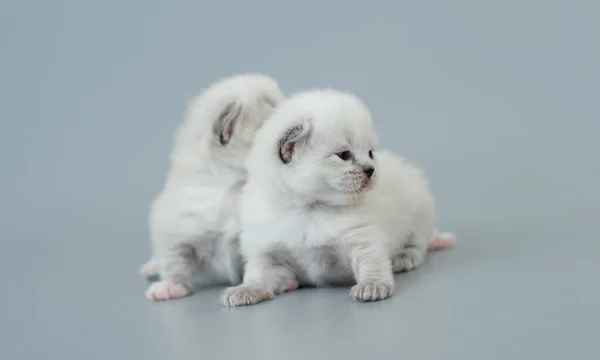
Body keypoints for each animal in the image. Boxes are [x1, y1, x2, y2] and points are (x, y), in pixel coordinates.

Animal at [223, 89, 452, 306]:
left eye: (370, 153)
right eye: (343, 155)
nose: (371, 170)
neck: (307, 209)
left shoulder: (361, 239)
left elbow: (372, 264)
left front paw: (372, 286)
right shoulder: (268, 254)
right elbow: (257, 276)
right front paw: (245, 290)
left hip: (419, 210)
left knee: (419, 244)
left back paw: (403, 257)